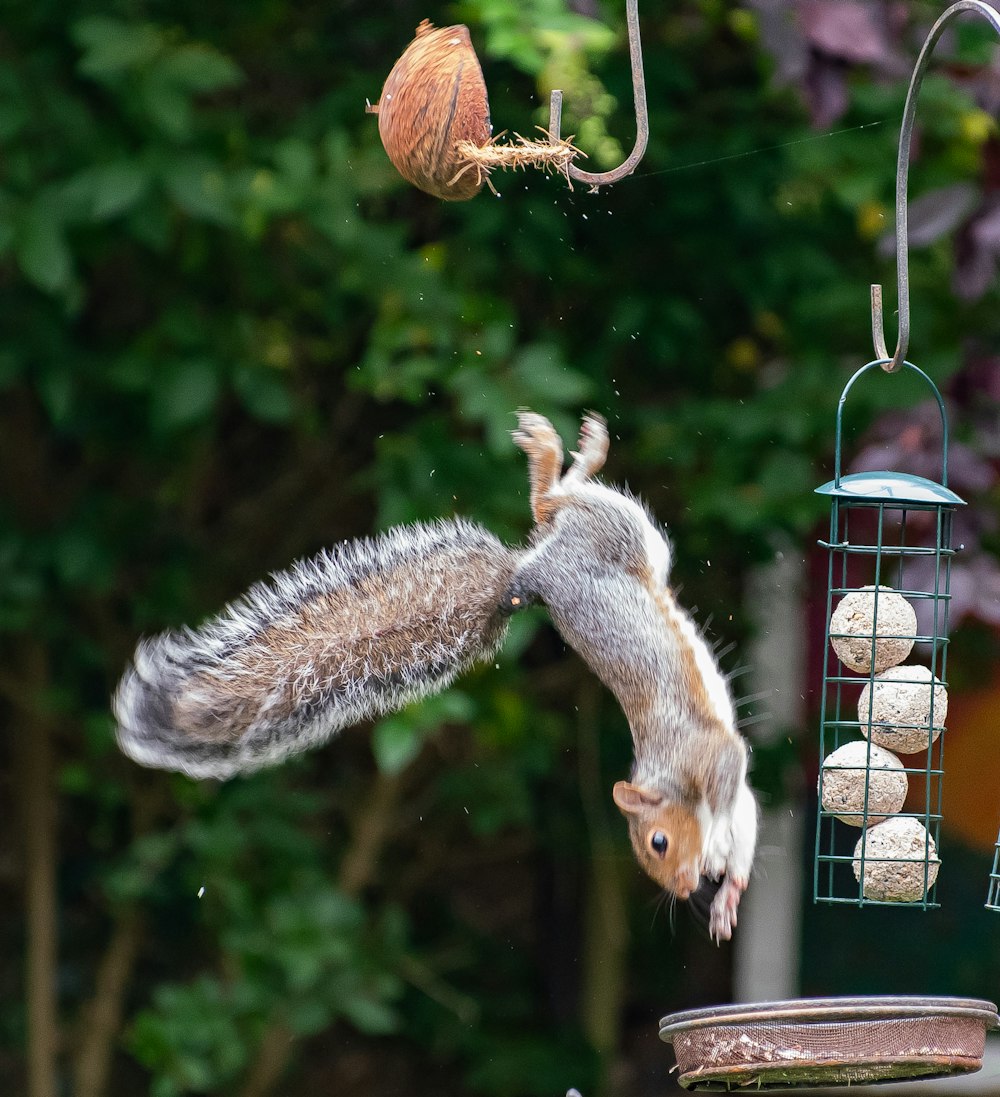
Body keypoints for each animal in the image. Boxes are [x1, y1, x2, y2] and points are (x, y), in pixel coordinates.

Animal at [113, 408, 758, 939]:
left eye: (659, 841)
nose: (684, 888)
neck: (674, 781)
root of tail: (525, 578)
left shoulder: (712, 759)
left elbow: (740, 807)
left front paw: (727, 886)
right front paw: (723, 888)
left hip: (616, 534)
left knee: (555, 506)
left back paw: (566, 451)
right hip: (618, 536)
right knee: (553, 503)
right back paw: (559, 453)